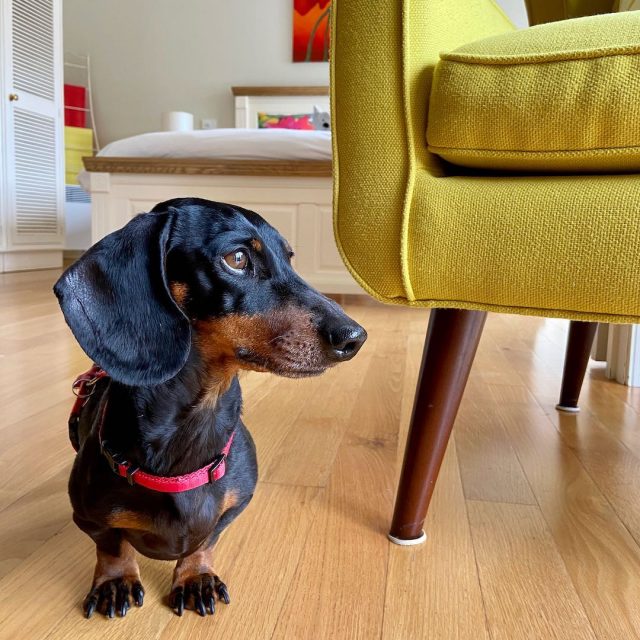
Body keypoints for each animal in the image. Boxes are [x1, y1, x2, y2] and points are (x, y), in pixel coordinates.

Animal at [55, 198, 364, 616]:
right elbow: (112, 544)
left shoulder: (235, 505)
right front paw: (115, 580)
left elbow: (206, 540)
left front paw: (194, 577)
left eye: (289, 258)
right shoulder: (89, 517)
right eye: (237, 258)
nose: (355, 338)